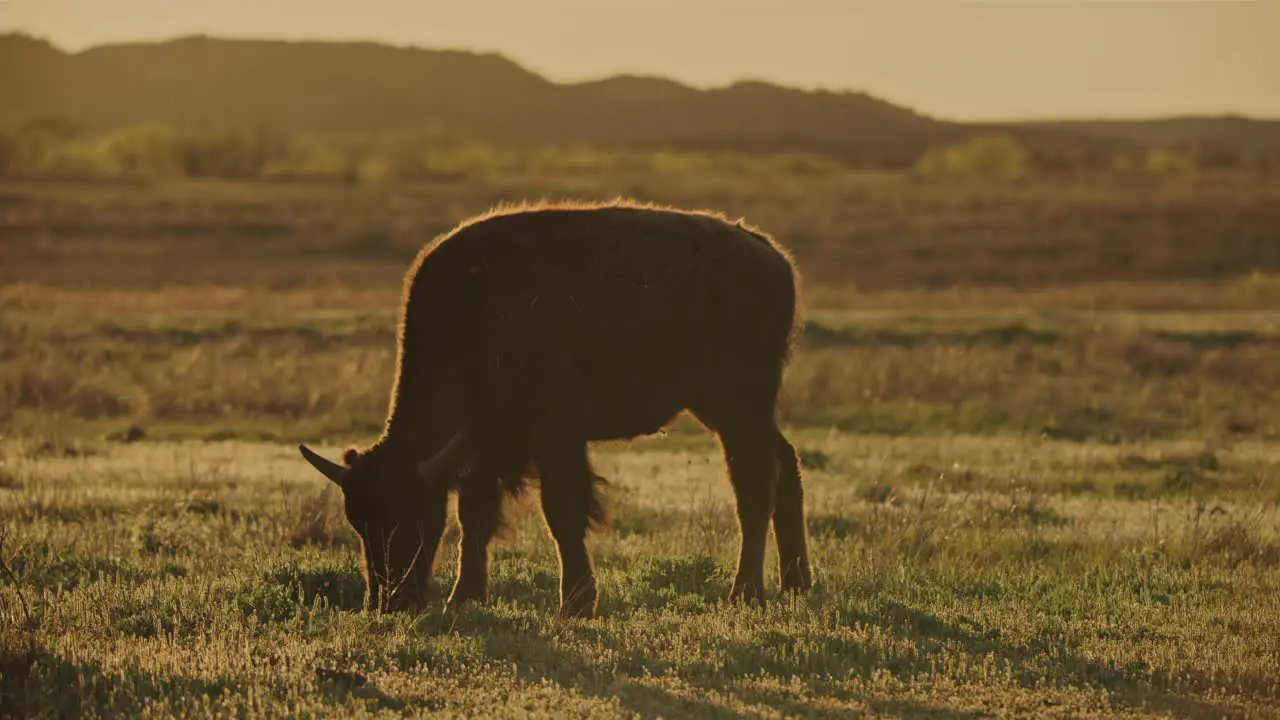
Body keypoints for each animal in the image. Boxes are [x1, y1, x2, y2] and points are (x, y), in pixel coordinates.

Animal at [299, 198, 808, 614]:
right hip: (729, 408)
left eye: (411, 517)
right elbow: (475, 517)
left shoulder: (554, 437)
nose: (388, 602)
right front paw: (465, 596)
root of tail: (773, 257)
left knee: (754, 485)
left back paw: (746, 593)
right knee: (785, 465)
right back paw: (795, 584)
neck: (476, 312)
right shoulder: (483, 448)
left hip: (738, 405)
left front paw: (577, 603)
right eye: (359, 523)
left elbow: (561, 513)